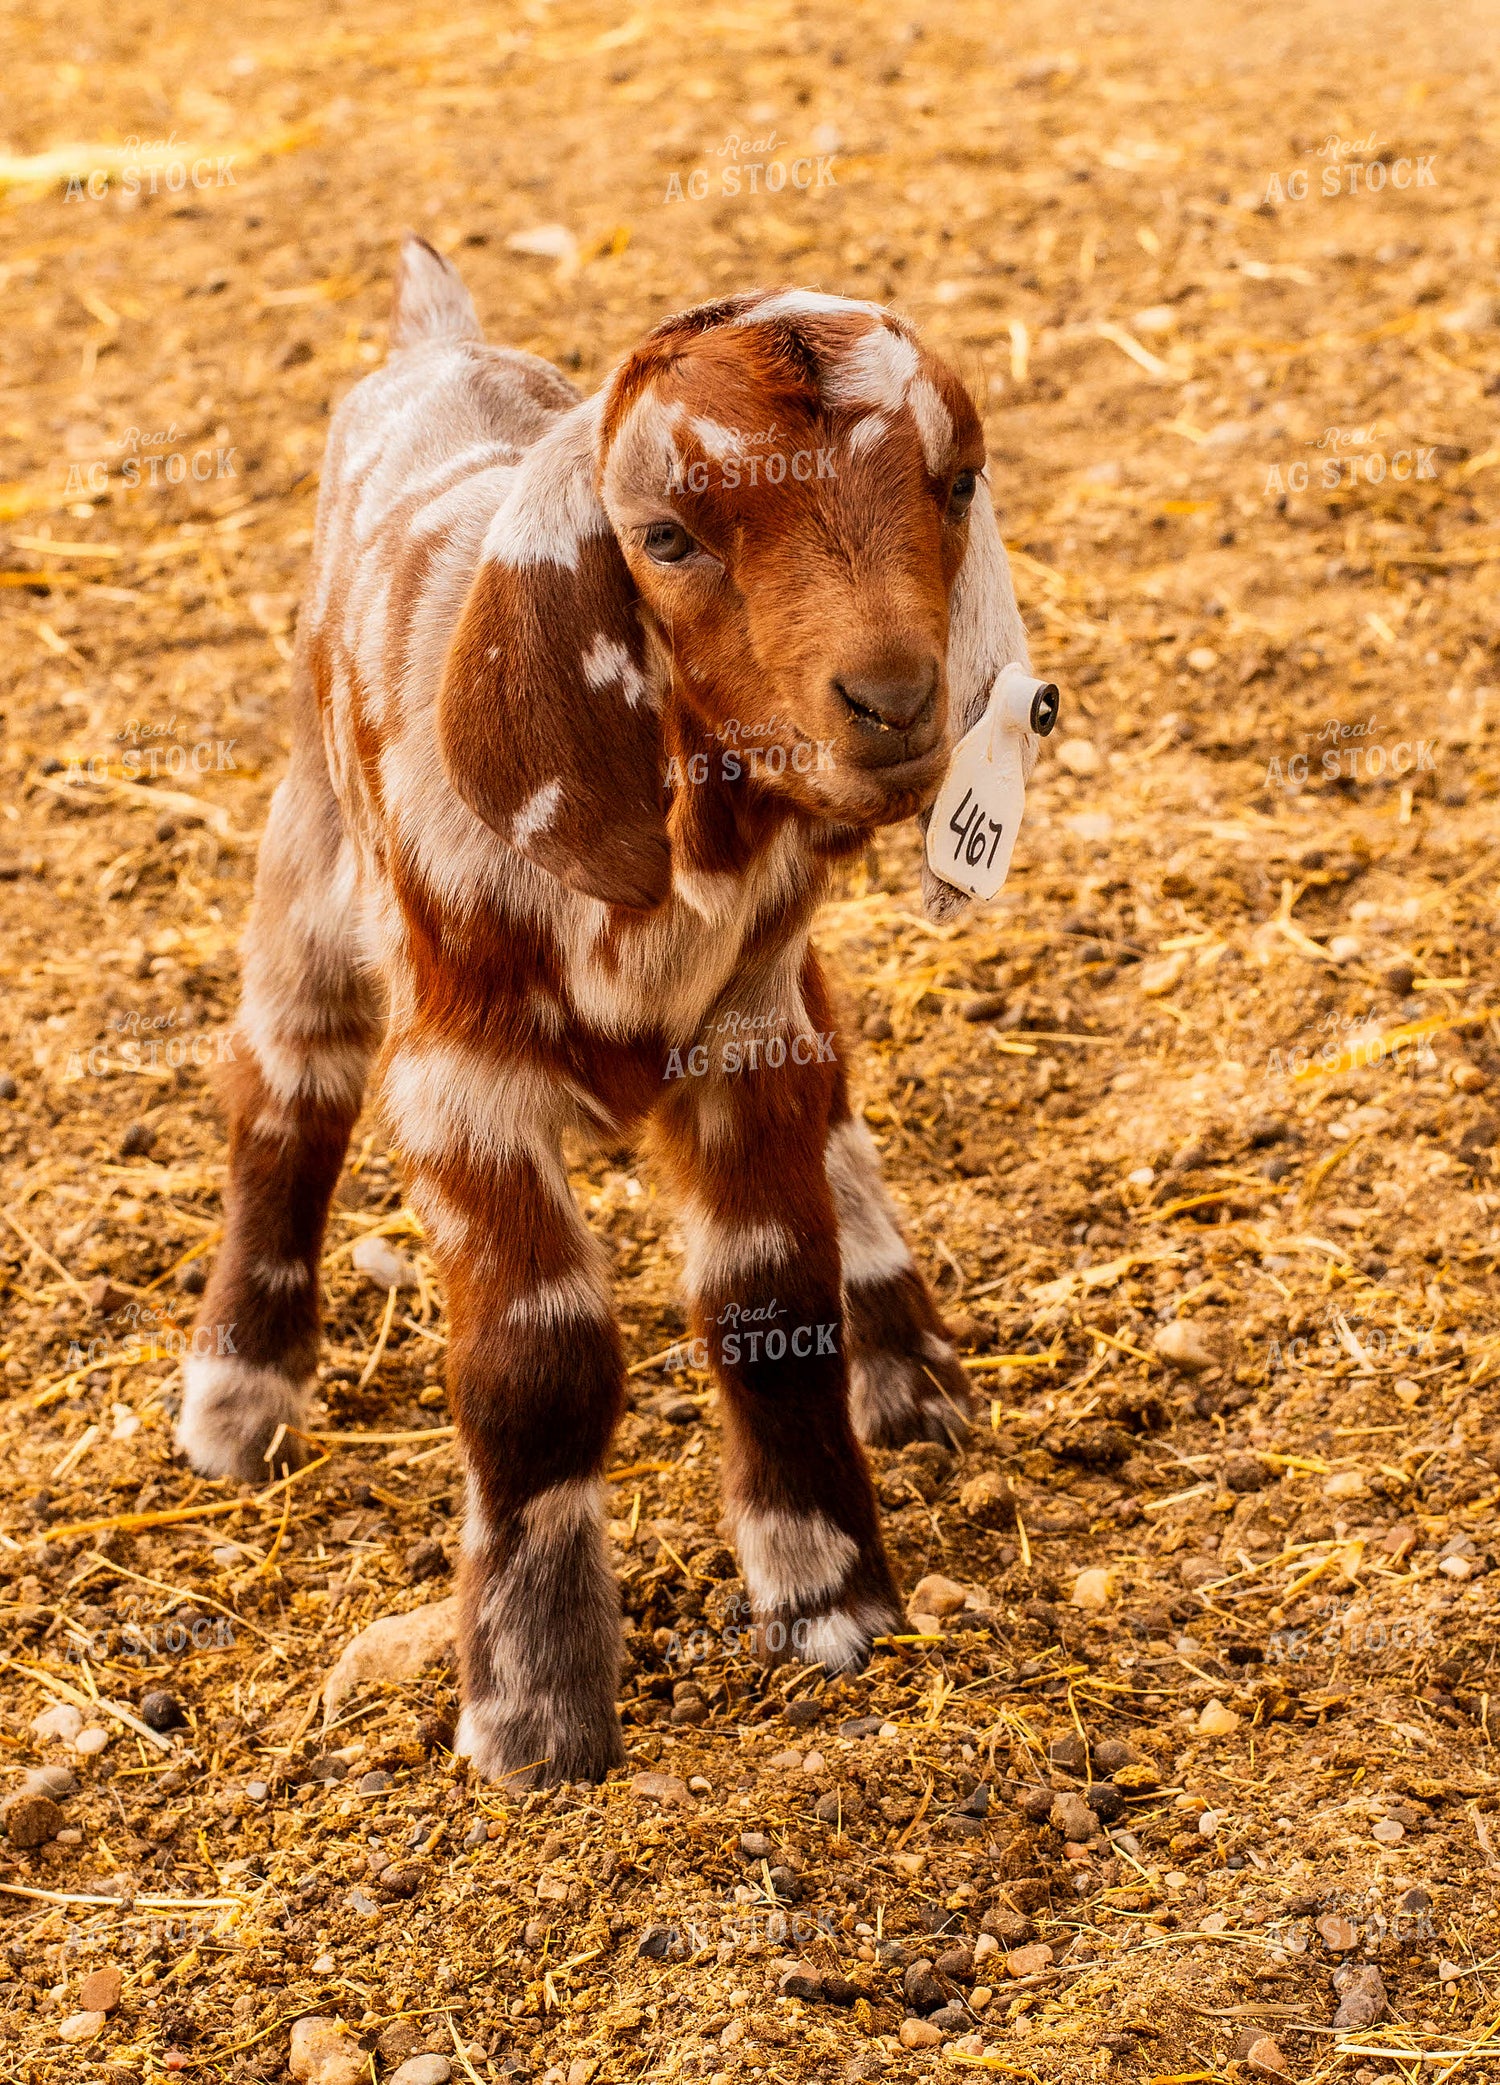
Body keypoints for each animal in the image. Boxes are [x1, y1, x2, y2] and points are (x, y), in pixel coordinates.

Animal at [179, 236, 1039, 1786]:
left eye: (956, 483)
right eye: (668, 536)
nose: (894, 703)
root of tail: (437, 342)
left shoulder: (756, 1032)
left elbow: (773, 1300)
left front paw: (830, 1595)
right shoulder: (459, 1080)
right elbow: (536, 1369)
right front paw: (534, 1711)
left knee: (846, 1126)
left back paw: (909, 1366)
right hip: (308, 856)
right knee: (284, 1093)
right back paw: (238, 1394)